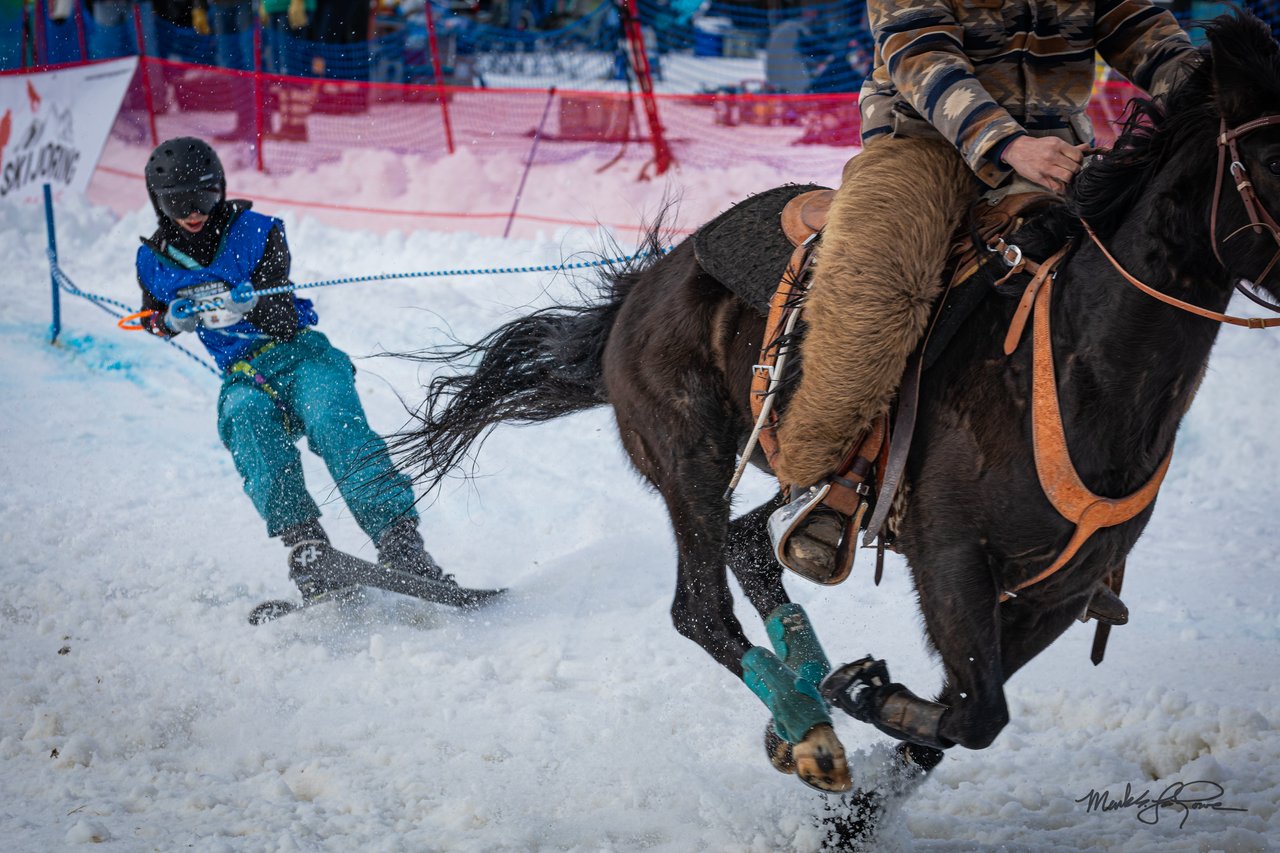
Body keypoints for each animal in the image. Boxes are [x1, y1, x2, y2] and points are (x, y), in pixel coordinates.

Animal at [399, 9, 1280, 809]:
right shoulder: (950, 559)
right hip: (693, 463)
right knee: (702, 606)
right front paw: (862, 696)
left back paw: (802, 704)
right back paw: (810, 724)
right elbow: (976, 712)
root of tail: (643, 288)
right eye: (1271, 155)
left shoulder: (1056, 595)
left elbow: (960, 720)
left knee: (752, 546)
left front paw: (862, 752)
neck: (1071, 365)